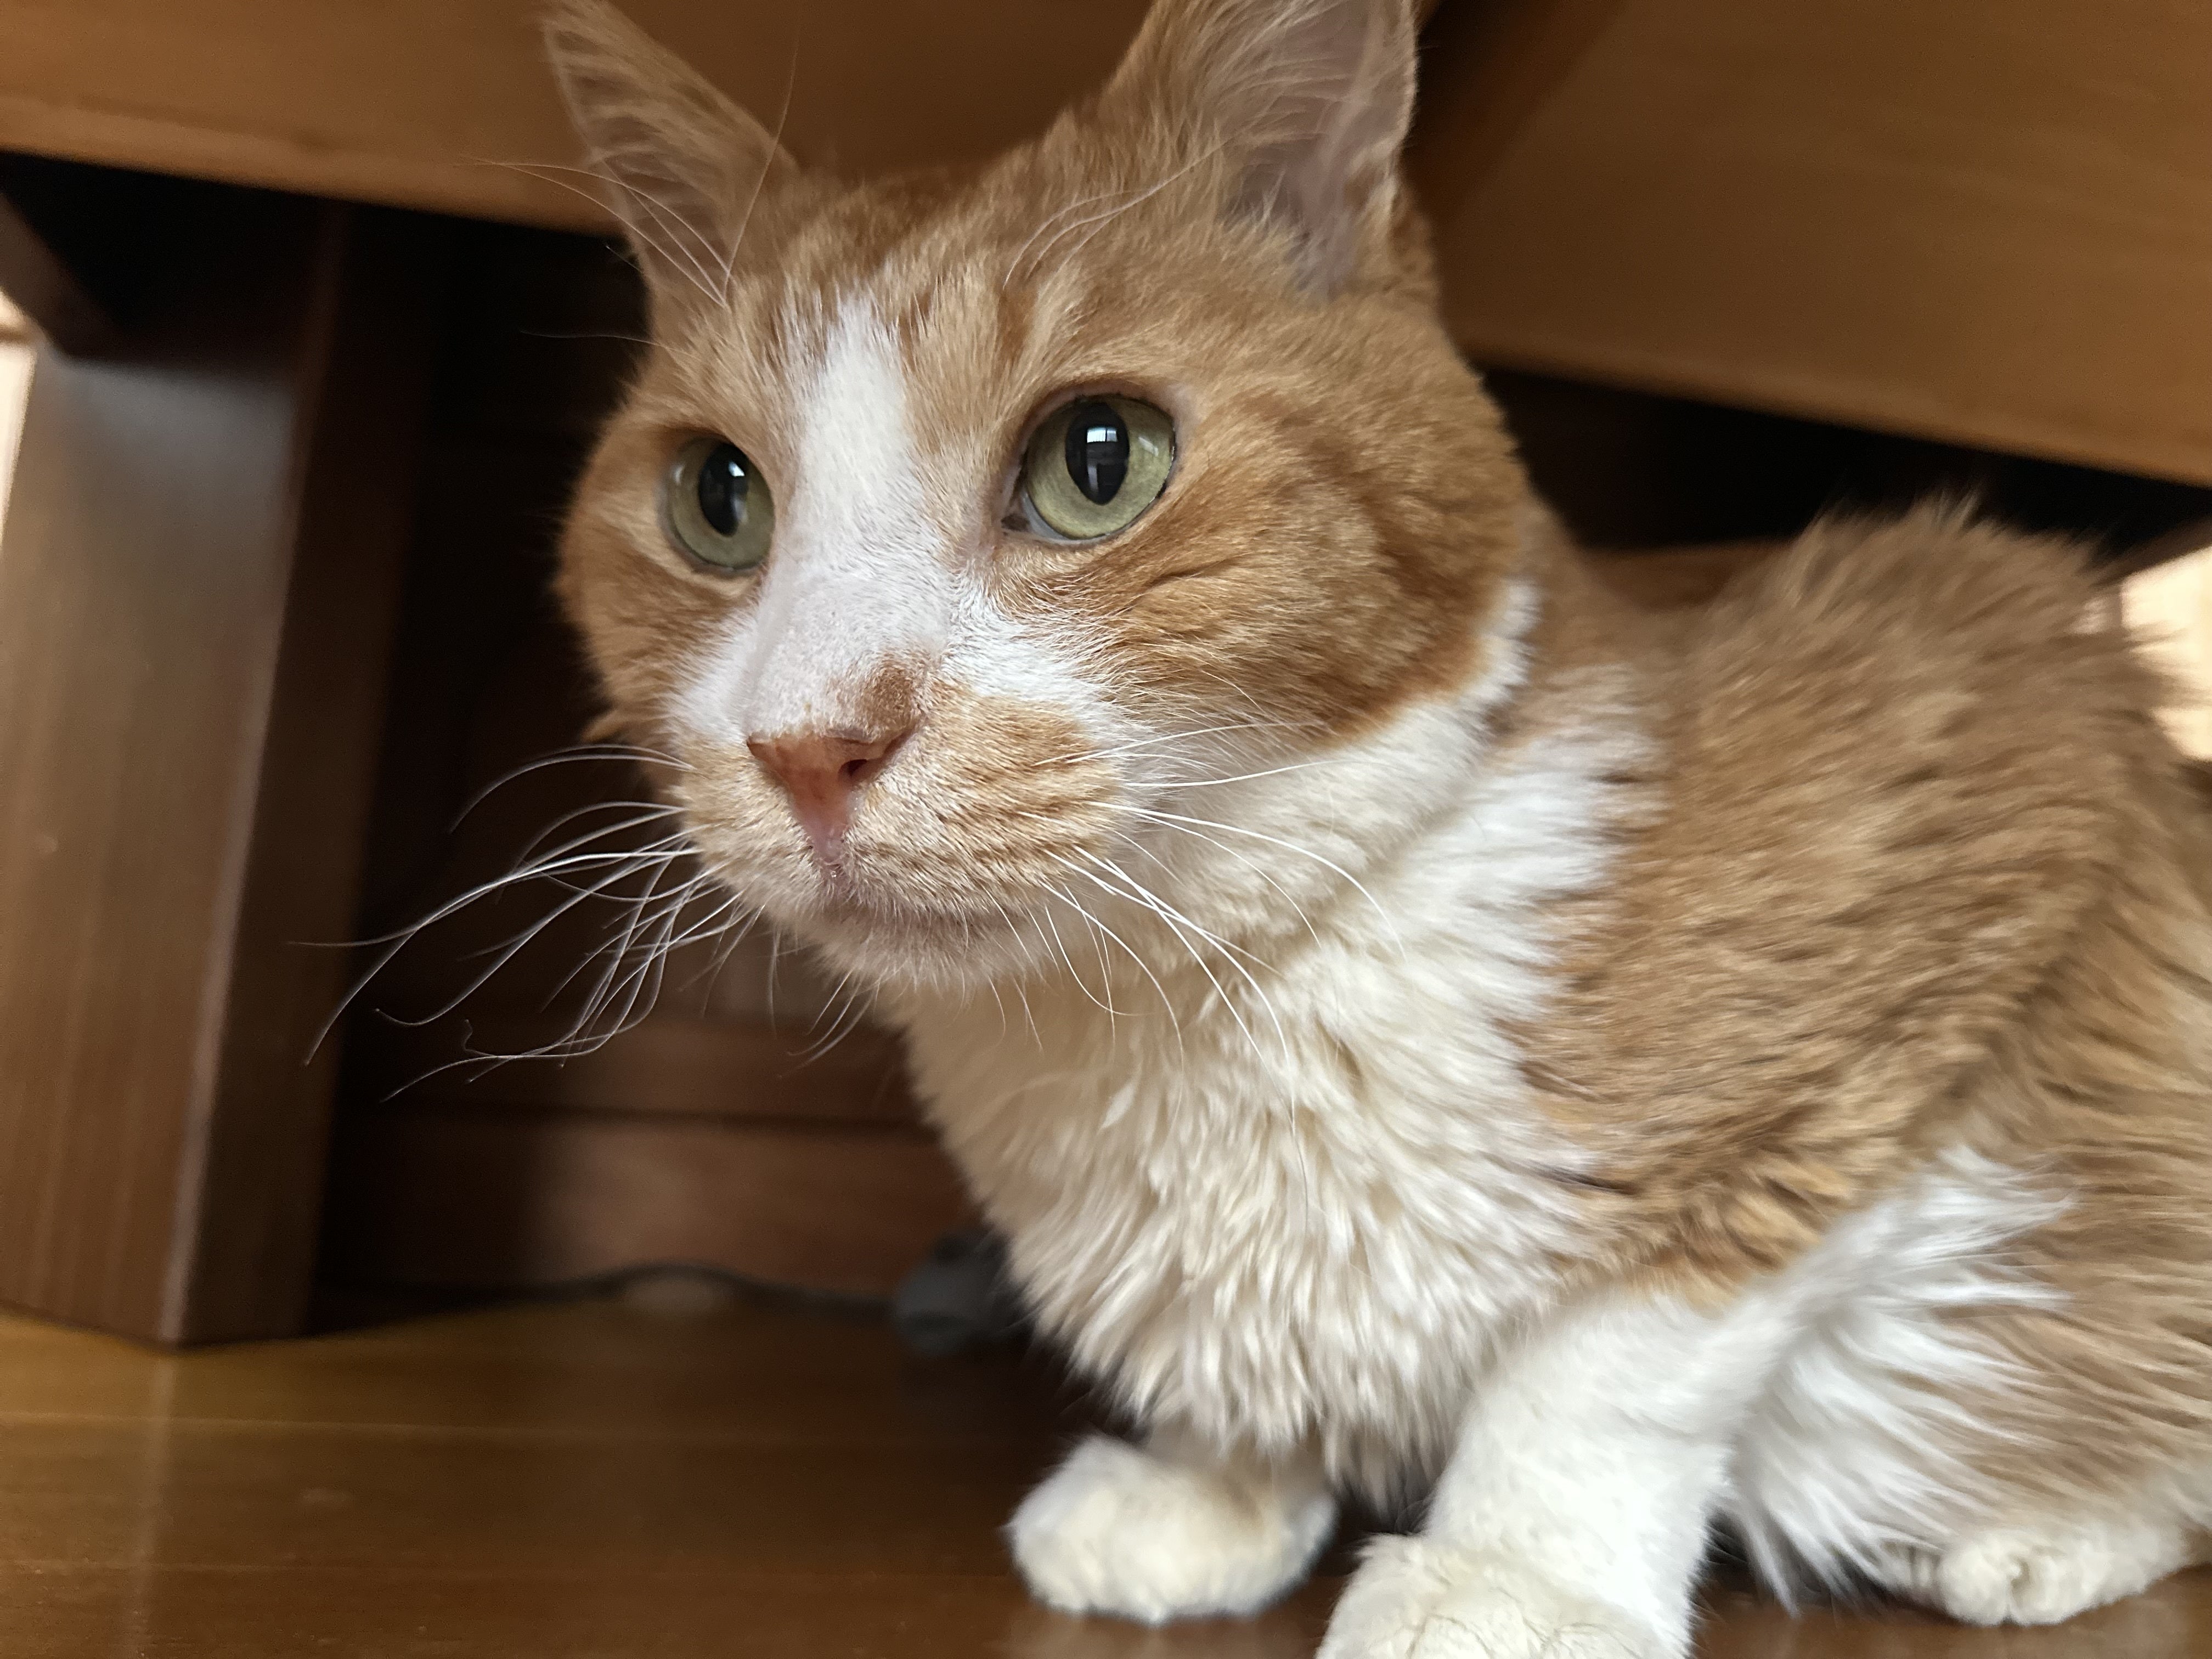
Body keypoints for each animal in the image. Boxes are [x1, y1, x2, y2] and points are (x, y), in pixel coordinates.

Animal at [542, 0, 2212, 1652]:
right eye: (717, 500)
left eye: (1098, 461)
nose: (809, 745)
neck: (1173, 1010)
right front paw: (1211, 1487)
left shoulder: (1975, 757)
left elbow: (1621, 1360)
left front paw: (1514, 1577)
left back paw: (2036, 1537)